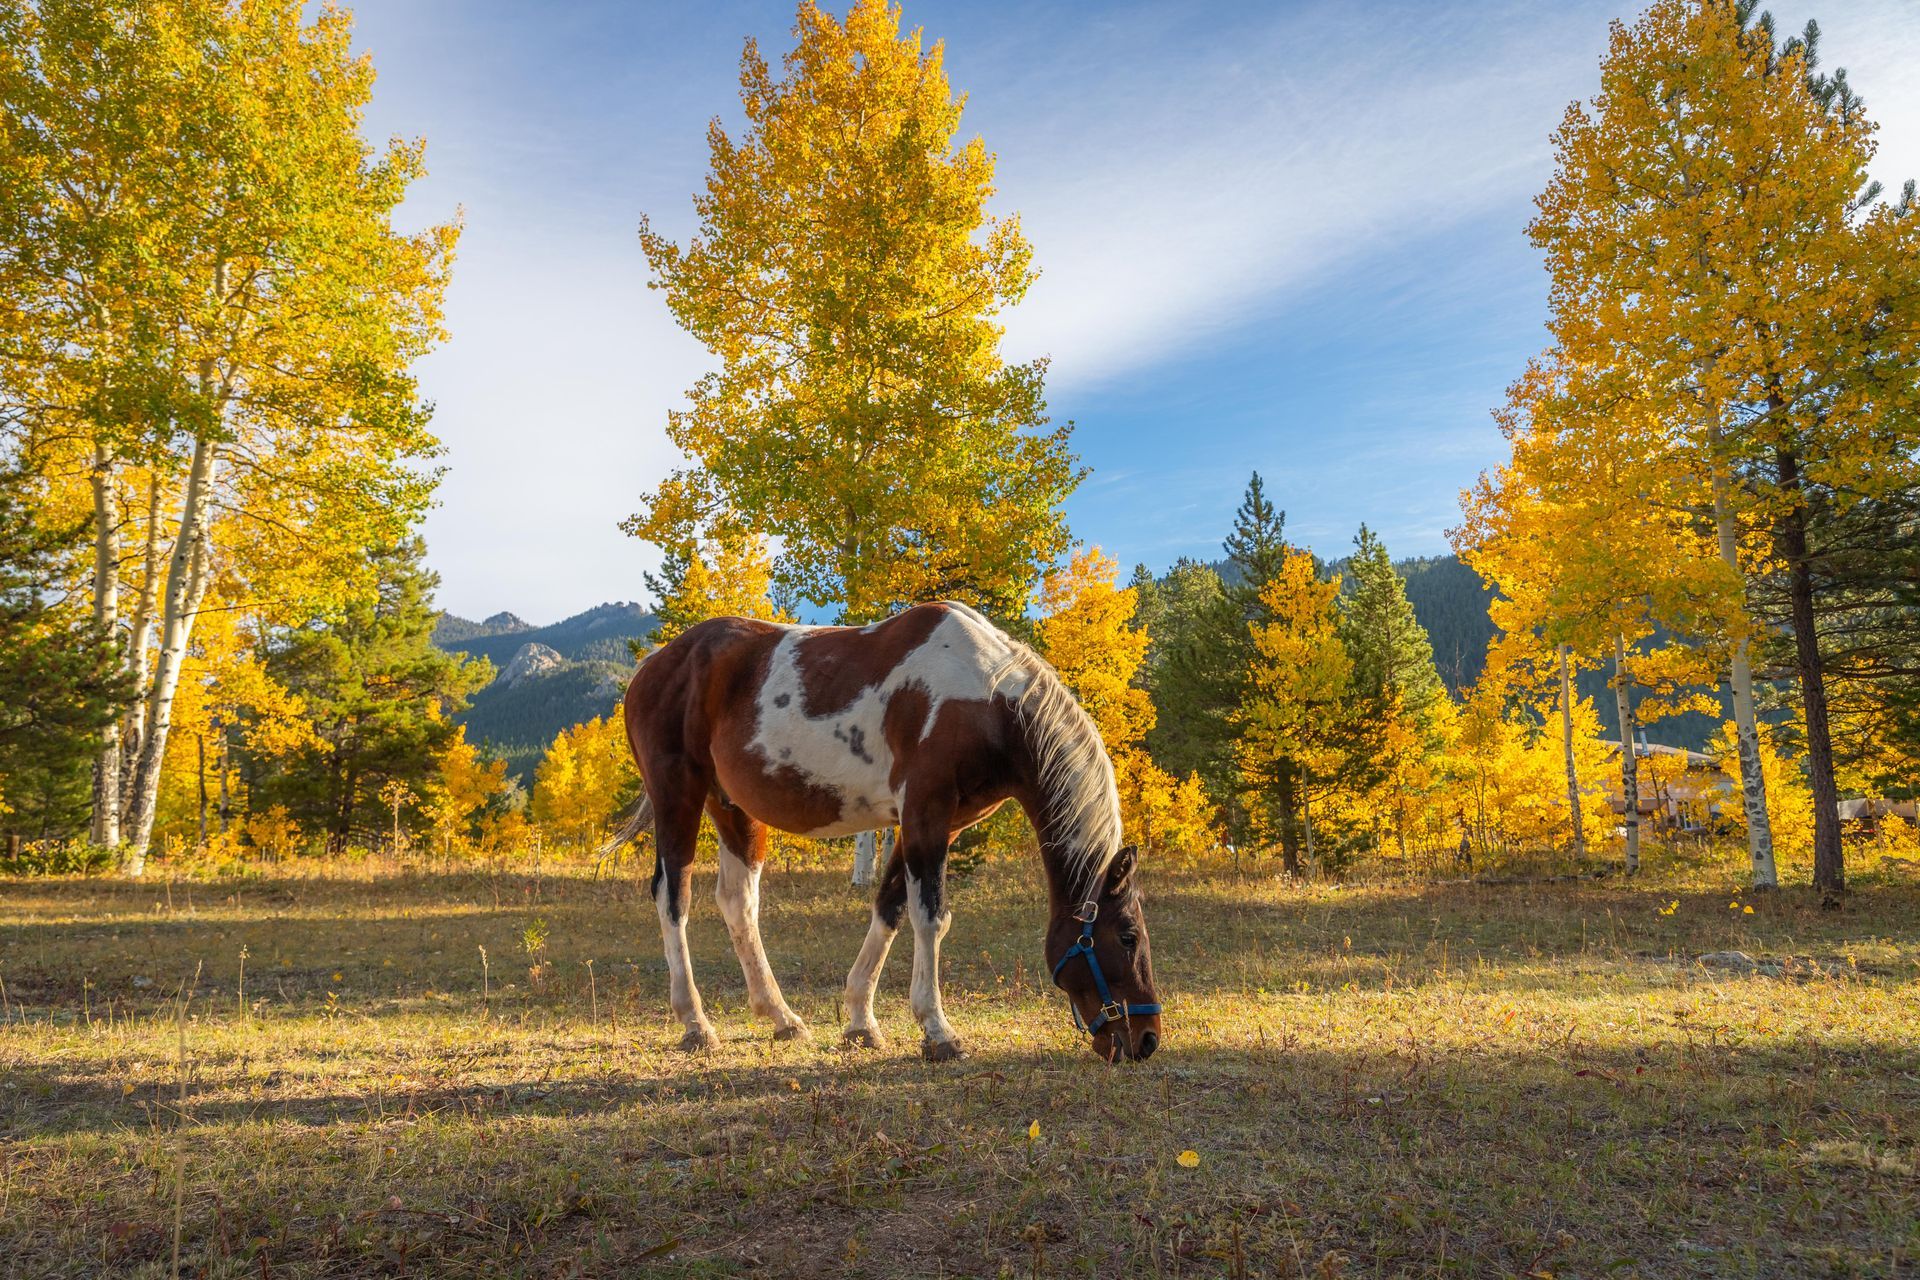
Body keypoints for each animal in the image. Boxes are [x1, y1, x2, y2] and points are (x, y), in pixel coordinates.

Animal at [602, 599, 1162, 1063]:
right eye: (1128, 936)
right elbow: (930, 917)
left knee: (738, 901)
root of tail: (653, 665)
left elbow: (889, 909)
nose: (1146, 1040)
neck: (985, 703)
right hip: (678, 795)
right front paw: (937, 1030)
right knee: (673, 896)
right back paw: (696, 1023)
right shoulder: (925, 814)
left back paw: (782, 1018)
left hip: (732, 806)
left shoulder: (937, 824)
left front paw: (860, 1021)